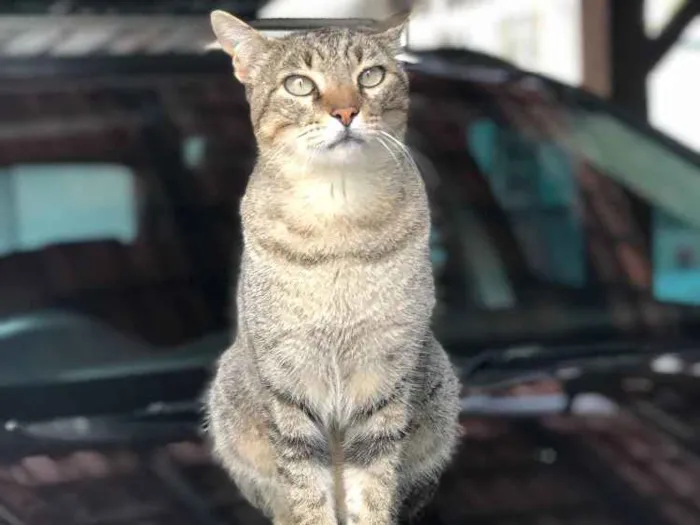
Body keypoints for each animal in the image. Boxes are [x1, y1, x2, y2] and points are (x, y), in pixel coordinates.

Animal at [205, 9, 462, 524]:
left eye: (371, 76)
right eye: (300, 84)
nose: (346, 113)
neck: (338, 226)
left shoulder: (386, 374)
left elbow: (373, 488)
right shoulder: (287, 379)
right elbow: (307, 490)